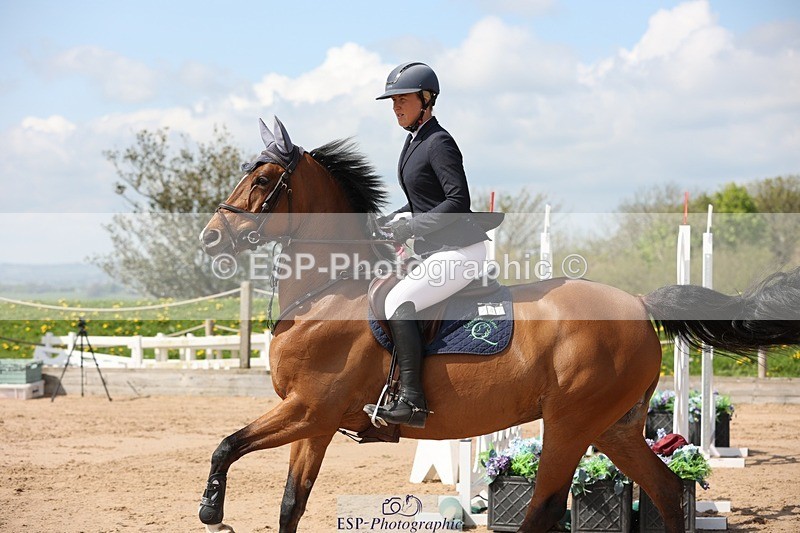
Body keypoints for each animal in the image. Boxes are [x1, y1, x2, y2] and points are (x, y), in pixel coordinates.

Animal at [198, 117, 800, 533]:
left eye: (264, 179)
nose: (209, 237)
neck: (328, 293)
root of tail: (637, 303)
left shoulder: (308, 408)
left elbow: (226, 445)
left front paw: (211, 510)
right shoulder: (316, 422)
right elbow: (289, 505)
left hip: (570, 423)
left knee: (546, 510)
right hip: (614, 428)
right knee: (670, 493)